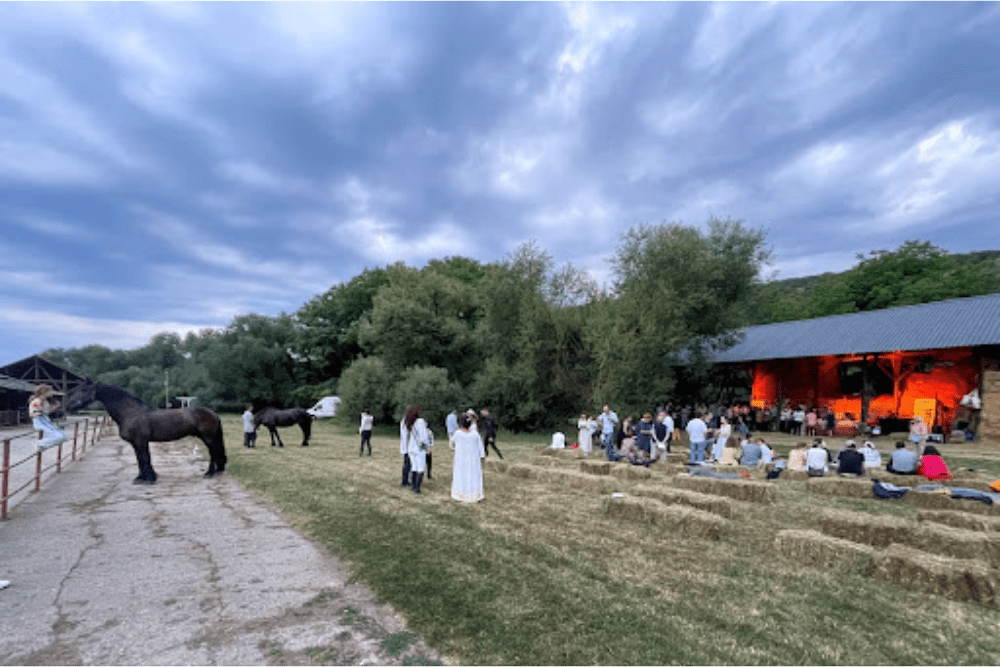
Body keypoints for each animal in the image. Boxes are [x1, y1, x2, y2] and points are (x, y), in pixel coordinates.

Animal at [73, 380, 227, 486]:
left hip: (208, 437)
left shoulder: (141, 441)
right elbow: (140, 459)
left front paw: (148, 479)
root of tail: (213, 413)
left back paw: (209, 473)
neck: (131, 413)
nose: (71, 405)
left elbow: (145, 458)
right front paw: (142, 477)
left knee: (213, 452)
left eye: (84, 389)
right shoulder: (136, 443)